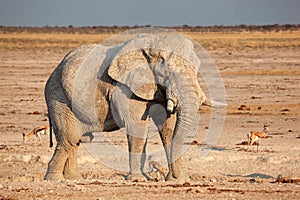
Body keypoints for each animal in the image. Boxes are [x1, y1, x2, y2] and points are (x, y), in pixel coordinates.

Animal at [44, 30, 223, 181]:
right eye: (166, 73)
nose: (175, 177)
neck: (150, 44)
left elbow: (168, 128)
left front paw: (177, 180)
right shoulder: (125, 88)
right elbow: (137, 126)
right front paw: (138, 179)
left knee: (75, 142)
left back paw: (74, 179)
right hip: (57, 96)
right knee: (68, 140)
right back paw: (55, 179)